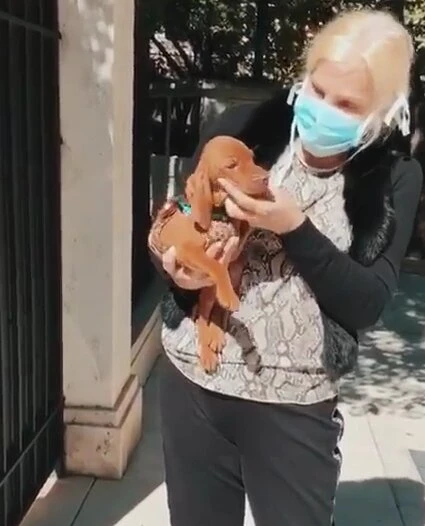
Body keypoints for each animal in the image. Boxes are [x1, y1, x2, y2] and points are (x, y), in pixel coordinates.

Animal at [149, 135, 269, 372]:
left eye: (252, 158)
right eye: (231, 165)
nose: (266, 178)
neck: (216, 215)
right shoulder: (187, 250)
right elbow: (215, 265)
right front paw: (227, 296)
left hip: (226, 277)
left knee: (212, 311)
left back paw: (216, 333)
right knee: (203, 315)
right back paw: (207, 350)